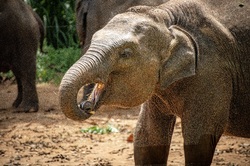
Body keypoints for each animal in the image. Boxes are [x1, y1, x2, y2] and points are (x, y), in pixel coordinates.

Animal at [59, 0, 249, 165]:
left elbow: (200, 139)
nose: (86, 106)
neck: (165, 17)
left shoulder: (213, 72)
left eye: (125, 53)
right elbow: (148, 136)